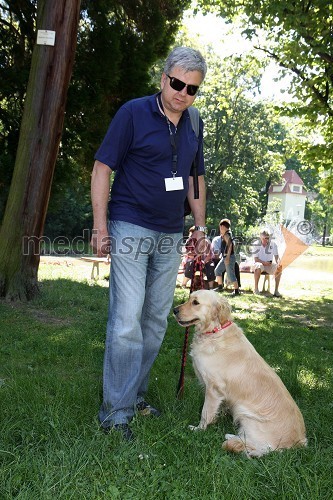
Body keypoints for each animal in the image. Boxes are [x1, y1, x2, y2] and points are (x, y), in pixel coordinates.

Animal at [174, 290, 306, 458]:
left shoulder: (213, 389)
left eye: (195, 303)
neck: (215, 330)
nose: (174, 310)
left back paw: (231, 438)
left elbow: (205, 413)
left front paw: (199, 429)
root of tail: (298, 443)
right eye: (189, 298)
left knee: (253, 447)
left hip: (246, 414)